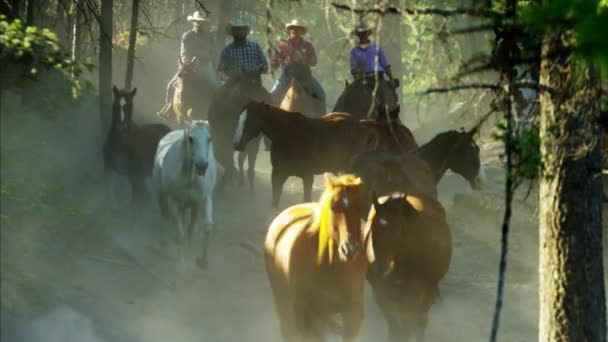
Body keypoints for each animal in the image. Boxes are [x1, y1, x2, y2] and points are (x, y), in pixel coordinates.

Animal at [103, 84, 172, 220]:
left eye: (130, 107)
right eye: (115, 105)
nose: (121, 126)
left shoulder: (136, 175)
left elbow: (137, 201)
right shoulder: (110, 169)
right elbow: (111, 194)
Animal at [151, 120, 216, 276]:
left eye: (209, 139)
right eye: (191, 139)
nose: (202, 166)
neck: (190, 179)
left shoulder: (204, 200)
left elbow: (206, 227)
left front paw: (202, 261)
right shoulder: (173, 202)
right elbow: (180, 233)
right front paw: (182, 264)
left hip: (191, 205)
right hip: (162, 196)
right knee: (165, 217)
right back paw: (164, 244)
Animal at [232, 101, 378, 208]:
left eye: (250, 120)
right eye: (239, 118)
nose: (236, 144)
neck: (289, 136)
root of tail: (362, 125)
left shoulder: (307, 177)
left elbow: (306, 201)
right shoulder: (277, 176)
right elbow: (275, 204)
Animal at [264, 174, 366, 342]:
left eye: (360, 207)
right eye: (333, 206)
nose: (350, 249)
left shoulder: (353, 313)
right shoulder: (313, 314)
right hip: (285, 301)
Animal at [366, 192, 452, 340]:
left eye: (396, 230)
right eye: (372, 228)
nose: (380, 269)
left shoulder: (415, 294)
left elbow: (407, 326)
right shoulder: (381, 292)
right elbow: (395, 328)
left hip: (427, 292)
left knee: (420, 321)